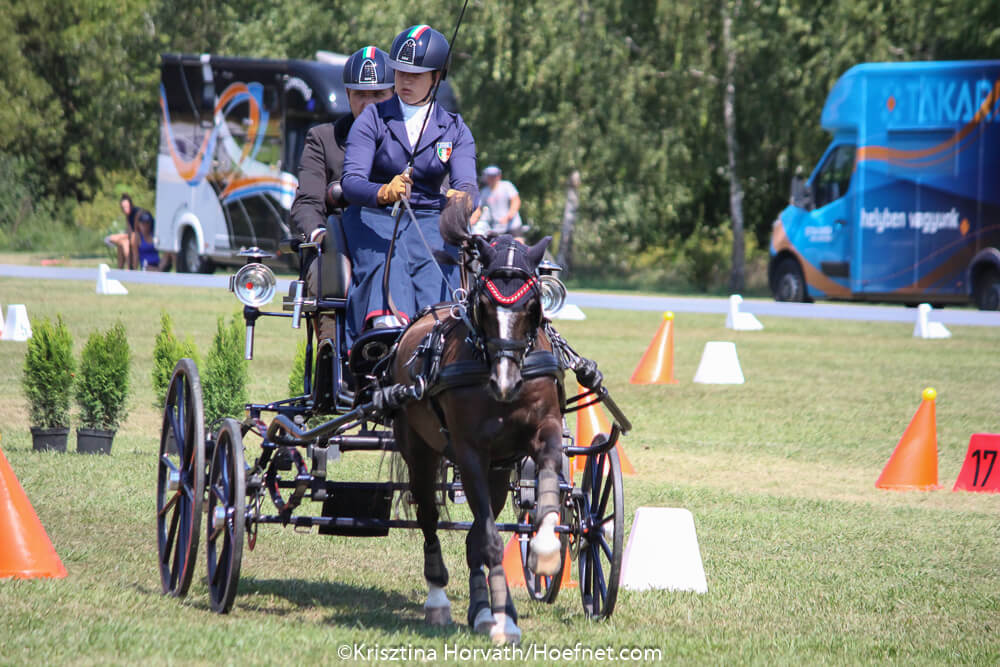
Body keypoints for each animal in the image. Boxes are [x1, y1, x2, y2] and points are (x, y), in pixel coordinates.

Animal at [388, 205, 566, 644]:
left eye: (533, 305)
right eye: (483, 305)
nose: (504, 382)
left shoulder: (544, 432)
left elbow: (546, 493)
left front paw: (545, 553)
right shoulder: (469, 454)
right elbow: (488, 539)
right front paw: (502, 622)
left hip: (498, 471)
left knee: (473, 534)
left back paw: (484, 609)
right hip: (421, 451)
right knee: (429, 517)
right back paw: (441, 601)